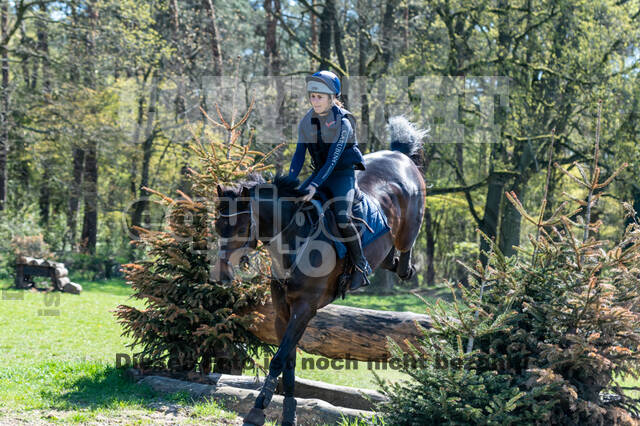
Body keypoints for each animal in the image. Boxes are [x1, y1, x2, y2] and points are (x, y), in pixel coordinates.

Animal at [212, 115, 428, 426]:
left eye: (241, 229)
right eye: (217, 227)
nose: (221, 276)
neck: (293, 240)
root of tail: (400, 155)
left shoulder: (305, 308)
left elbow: (279, 359)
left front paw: (257, 410)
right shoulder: (283, 311)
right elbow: (288, 361)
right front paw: (287, 413)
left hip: (410, 223)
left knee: (405, 250)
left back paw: (406, 268)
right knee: (390, 258)